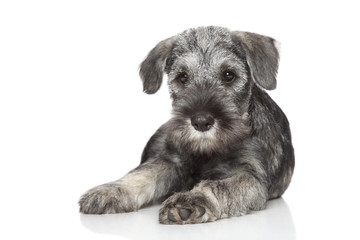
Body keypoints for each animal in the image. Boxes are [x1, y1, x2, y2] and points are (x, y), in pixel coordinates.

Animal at [79, 26, 296, 225]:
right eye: (182, 77)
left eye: (229, 75)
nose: (201, 121)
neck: (208, 150)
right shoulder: (170, 161)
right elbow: (144, 173)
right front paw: (110, 190)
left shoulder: (250, 176)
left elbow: (218, 186)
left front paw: (193, 200)